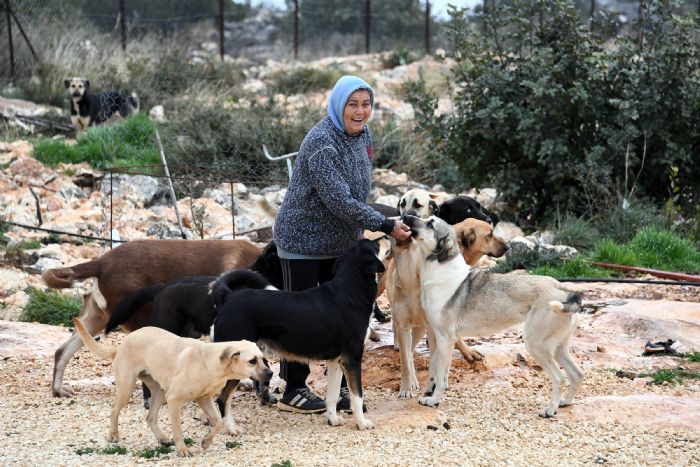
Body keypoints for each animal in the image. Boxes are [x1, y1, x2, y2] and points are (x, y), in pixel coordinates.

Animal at [73, 318, 270, 458]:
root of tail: (124, 342)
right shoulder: (175, 400)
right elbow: (178, 430)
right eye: (252, 361)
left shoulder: (204, 398)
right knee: (114, 410)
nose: (270, 374)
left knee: (150, 417)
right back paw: (113, 435)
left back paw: (162, 439)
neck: (211, 361)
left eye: (263, 358)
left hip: (159, 392)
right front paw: (182, 450)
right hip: (127, 388)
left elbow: (218, 422)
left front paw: (206, 442)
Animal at [213, 239, 388, 434]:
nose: (387, 236)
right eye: (375, 244)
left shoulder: (336, 361)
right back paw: (231, 429)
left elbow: (333, 395)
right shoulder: (352, 359)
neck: (350, 291)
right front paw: (362, 423)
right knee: (222, 399)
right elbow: (357, 397)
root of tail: (229, 296)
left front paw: (333, 419)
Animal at [400, 216, 584, 416]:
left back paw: (550, 410)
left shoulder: (445, 339)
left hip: (537, 345)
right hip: (558, 348)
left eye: (431, 224)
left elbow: (441, 377)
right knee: (577, 374)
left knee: (560, 378)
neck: (438, 268)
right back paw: (565, 402)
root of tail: (563, 290)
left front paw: (434, 400)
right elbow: (434, 371)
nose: (405, 217)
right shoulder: (436, 337)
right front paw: (429, 393)